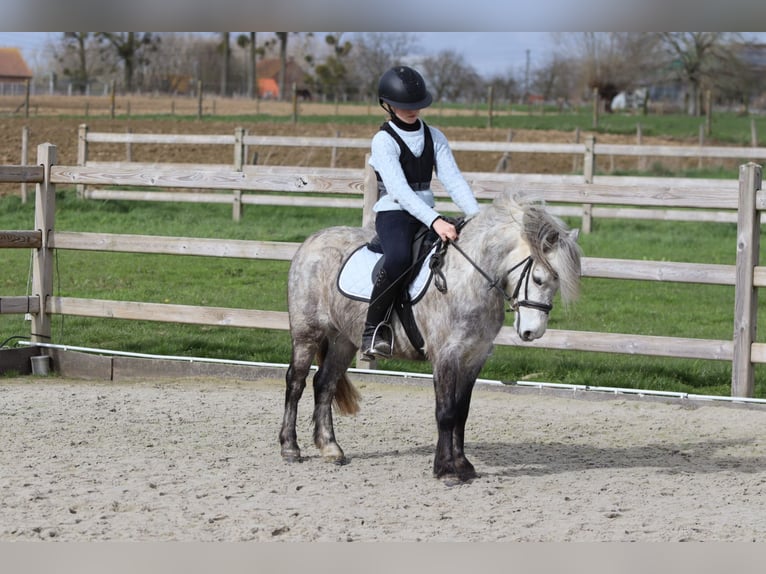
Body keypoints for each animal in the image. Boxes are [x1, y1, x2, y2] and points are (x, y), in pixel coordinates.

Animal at [279, 191, 582, 482]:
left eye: (556, 283)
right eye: (539, 279)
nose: (533, 332)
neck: (468, 278)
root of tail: (312, 241)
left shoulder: (474, 356)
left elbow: (461, 412)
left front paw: (463, 465)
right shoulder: (445, 354)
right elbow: (445, 412)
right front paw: (446, 470)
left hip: (343, 339)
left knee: (325, 383)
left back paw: (330, 448)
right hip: (307, 333)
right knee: (296, 382)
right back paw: (290, 448)